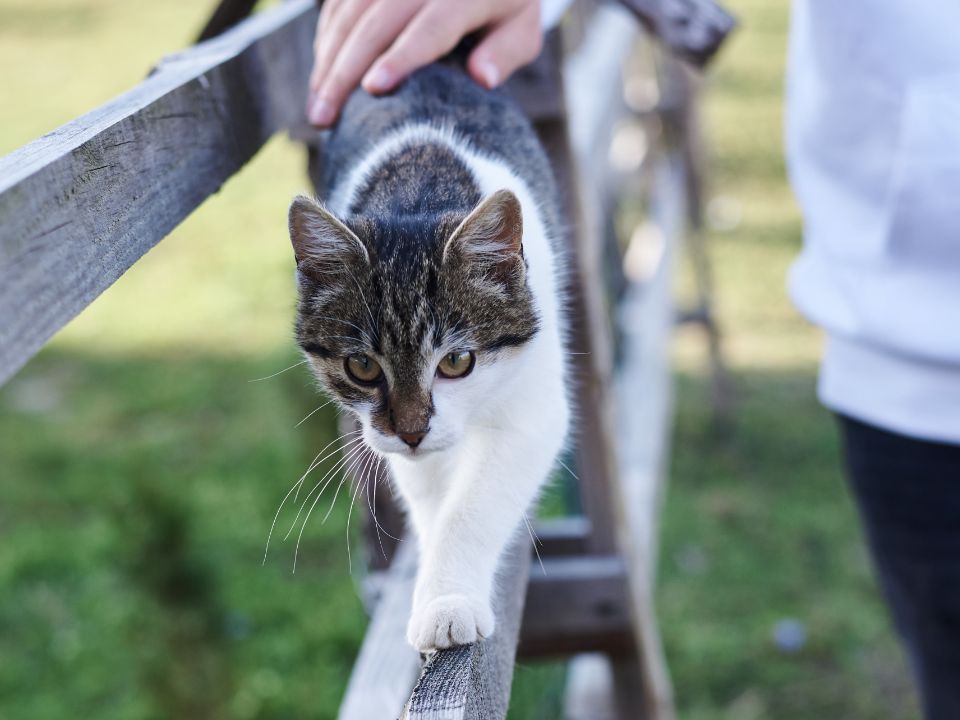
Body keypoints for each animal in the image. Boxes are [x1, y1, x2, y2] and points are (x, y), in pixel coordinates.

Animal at [284, 64, 568, 656]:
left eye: (457, 361)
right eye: (362, 367)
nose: (412, 431)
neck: (418, 192)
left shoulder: (532, 399)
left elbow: (472, 503)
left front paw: (448, 604)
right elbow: (430, 494)